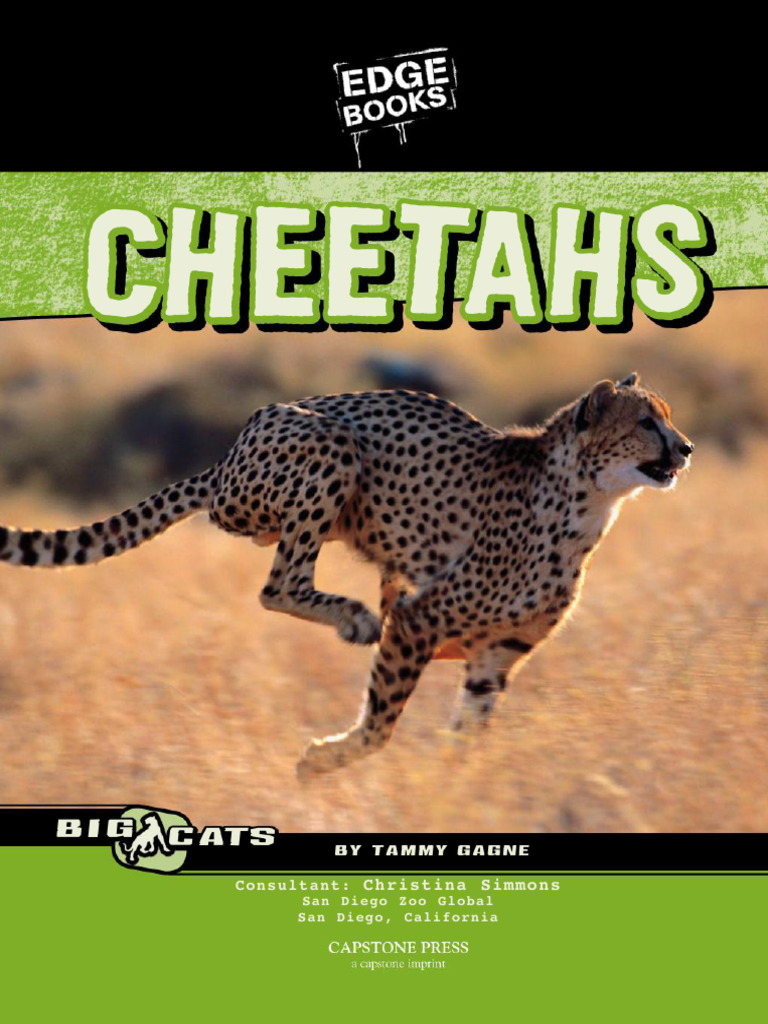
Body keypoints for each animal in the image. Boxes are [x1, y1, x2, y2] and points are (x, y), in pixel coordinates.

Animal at [0, 372, 693, 776]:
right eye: (645, 422)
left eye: (666, 416)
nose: (685, 448)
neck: (587, 503)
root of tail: (226, 458)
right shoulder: (421, 619)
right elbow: (382, 722)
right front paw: (323, 759)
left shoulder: (498, 652)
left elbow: (469, 731)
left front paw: (454, 786)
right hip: (326, 446)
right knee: (278, 584)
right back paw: (354, 617)